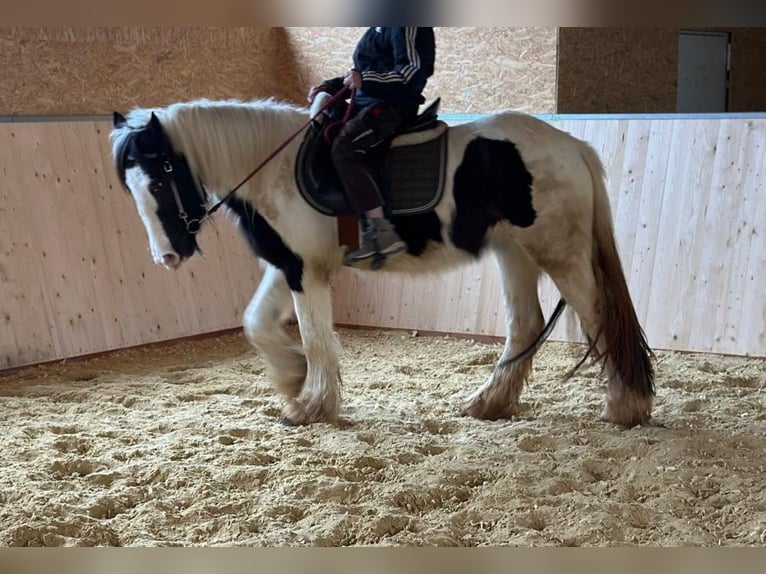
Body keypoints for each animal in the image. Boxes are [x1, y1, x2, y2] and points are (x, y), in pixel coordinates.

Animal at [111, 95, 656, 428]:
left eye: (161, 176)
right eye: (130, 186)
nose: (168, 255)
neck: (276, 170)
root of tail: (573, 146)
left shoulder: (306, 270)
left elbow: (315, 336)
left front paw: (311, 404)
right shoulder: (288, 264)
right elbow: (256, 323)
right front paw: (292, 378)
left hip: (557, 253)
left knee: (600, 315)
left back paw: (625, 406)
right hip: (514, 253)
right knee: (525, 325)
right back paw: (488, 403)